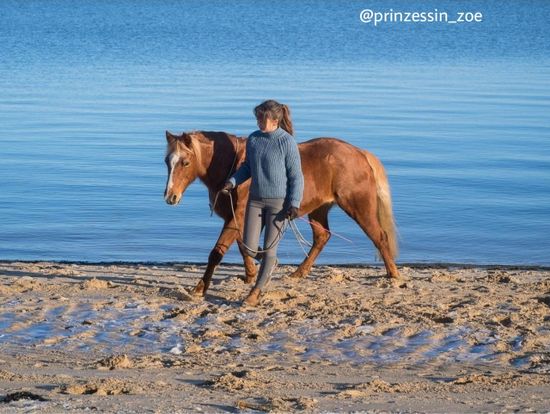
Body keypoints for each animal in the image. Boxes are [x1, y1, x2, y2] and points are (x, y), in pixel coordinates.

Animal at [164, 131, 402, 296]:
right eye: (168, 162)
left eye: (185, 162)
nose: (170, 197)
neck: (238, 169)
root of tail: (360, 153)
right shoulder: (240, 219)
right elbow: (244, 246)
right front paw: (251, 272)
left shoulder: (237, 217)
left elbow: (217, 252)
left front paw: (199, 288)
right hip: (318, 209)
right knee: (322, 237)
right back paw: (299, 272)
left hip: (358, 207)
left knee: (379, 236)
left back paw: (393, 274)